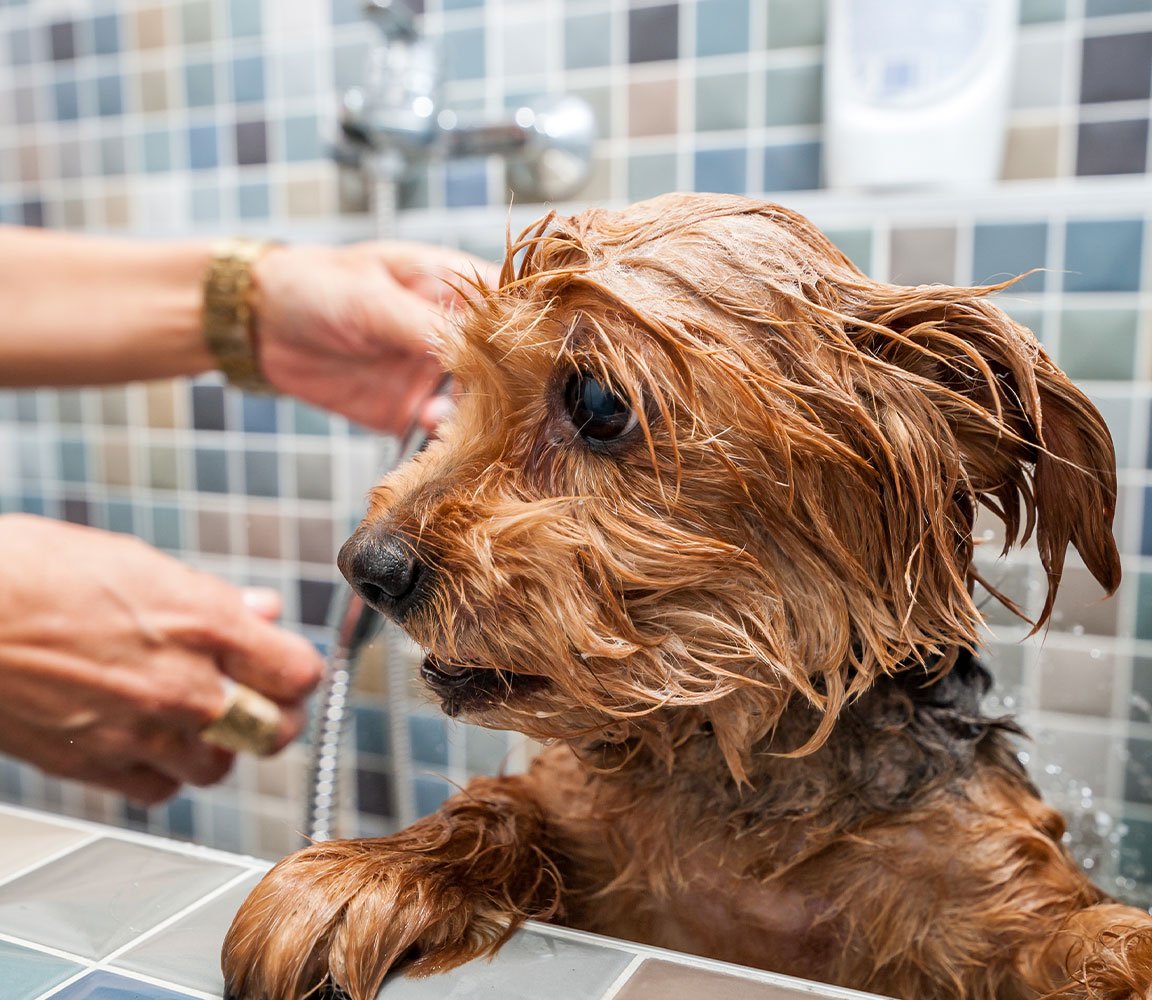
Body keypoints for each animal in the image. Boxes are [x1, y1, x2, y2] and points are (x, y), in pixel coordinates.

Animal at [222, 195, 1152, 1000]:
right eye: (464, 389)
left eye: (599, 402)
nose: (364, 566)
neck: (736, 767)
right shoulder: (583, 821)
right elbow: (501, 807)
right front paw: (368, 871)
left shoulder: (986, 884)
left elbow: (1081, 936)